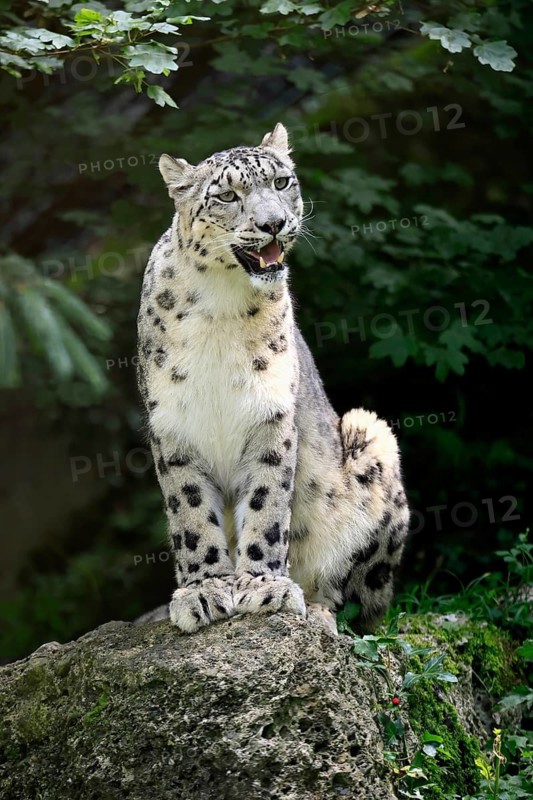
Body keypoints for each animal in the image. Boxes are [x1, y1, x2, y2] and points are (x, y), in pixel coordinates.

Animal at [136, 123, 410, 635]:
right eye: (226, 194)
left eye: (281, 182)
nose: (273, 223)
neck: (220, 305)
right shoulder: (174, 426)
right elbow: (190, 513)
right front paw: (204, 590)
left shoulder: (271, 416)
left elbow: (267, 504)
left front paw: (263, 586)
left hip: (372, 436)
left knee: (363, 607)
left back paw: (320, 611)